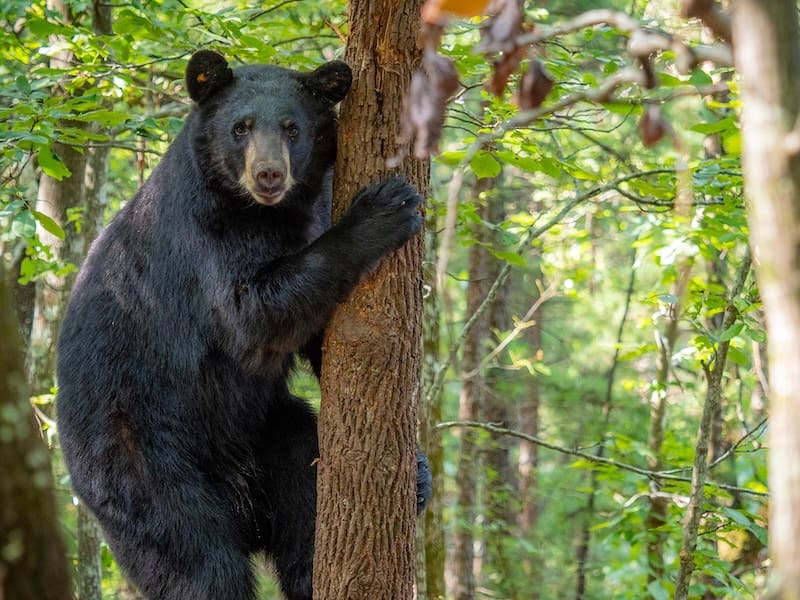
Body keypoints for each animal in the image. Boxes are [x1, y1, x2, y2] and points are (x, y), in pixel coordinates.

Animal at [56, 50, 431, 600]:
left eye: (293, 128)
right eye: (241, 127)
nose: (269, 175)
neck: (268, 213)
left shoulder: (315, 202)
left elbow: (320, 337)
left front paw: (419, 468)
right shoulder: (204, 238)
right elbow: (254, 313)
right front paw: (386, 208)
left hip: (274, 434)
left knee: (306, 512)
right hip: (139, 460)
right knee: (195, 562)